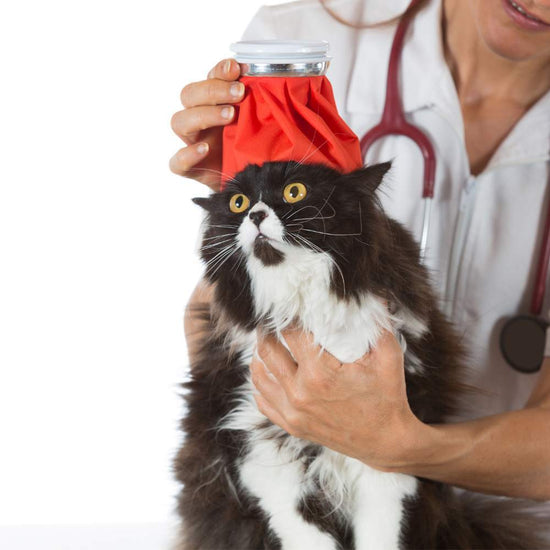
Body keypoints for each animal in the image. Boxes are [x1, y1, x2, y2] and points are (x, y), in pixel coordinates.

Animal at [174, 161, 550, 550]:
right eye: (238, 203)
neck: (304, 307)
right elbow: (303, 528)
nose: (256, 214)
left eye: (295, 192)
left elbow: (380, 529)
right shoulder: (255, 439)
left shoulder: (386, 450)